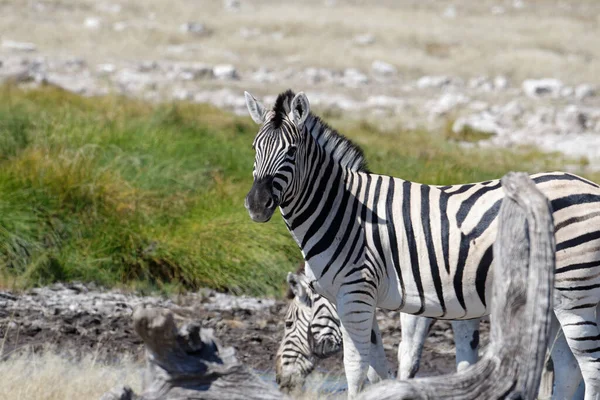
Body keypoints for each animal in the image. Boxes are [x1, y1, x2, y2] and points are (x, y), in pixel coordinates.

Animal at [243, 90, 600, 400]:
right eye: (254, 148)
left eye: (288, 323)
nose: (257, 204)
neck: (345, 212)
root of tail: (589, 185)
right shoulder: (365, 298)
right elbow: (378, 365)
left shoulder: (359, 294)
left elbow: (361, 367)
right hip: (553, 300)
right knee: (568, 370)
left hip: (575, 296)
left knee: (590, 369)